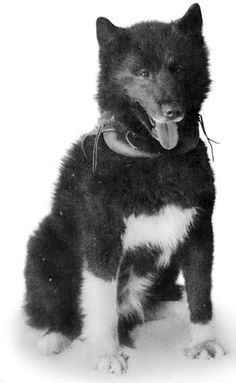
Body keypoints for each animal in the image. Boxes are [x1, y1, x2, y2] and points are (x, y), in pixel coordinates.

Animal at [24, 3, 226, 376]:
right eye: (142, 72)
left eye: (177, 67)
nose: (171, 111)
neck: (156, 158)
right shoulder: (103, 242)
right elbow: (102, 305)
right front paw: (107, 353)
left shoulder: (199, 233)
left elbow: (201, 292)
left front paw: (203, 341)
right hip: (43, 246)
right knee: (57, 312)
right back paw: (55, 338)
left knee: (159, 300)